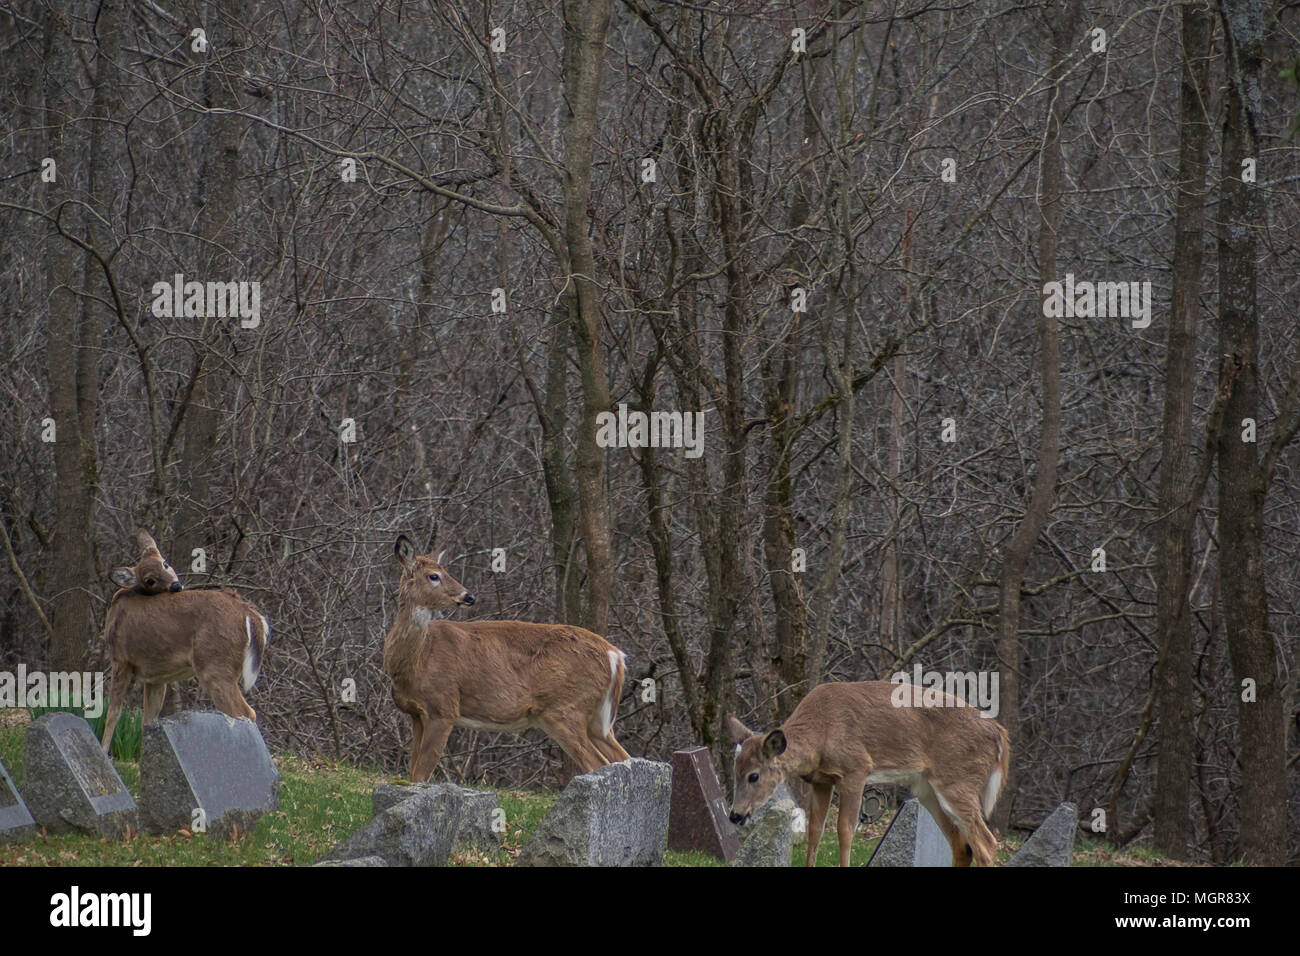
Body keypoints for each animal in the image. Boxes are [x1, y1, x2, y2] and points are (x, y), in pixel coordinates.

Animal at [98, 535, 269, 749]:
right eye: (150, 580)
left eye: (165, 563)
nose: (176, 585)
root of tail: (248, 612)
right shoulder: (155, 676)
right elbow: (148, 720)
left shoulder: (120, 659)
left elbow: (113, 711)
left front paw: (103, 750)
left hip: (215, 665)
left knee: (245, 712)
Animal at [382, 535, 631, 780]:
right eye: (434, 575)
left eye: (443, 572)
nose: (469, 596)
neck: (418, 659)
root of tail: (615, 655)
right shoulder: (416, 714)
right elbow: (413, 772)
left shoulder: (443, 707)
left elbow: (419, 775)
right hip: (597, 721)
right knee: (624, 758)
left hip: (565, 709)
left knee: (598, 762)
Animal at [728, 681, 1008, 868]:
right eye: (735, 771)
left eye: (753, 776)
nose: (735, 815)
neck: (821, 732)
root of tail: (1000, 735)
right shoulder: (821, 780)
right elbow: (815, 830)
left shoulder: (855, 768)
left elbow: (845, 830)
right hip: (928, 789)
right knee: (962, 845)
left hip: (957, 780)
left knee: (986, 843)